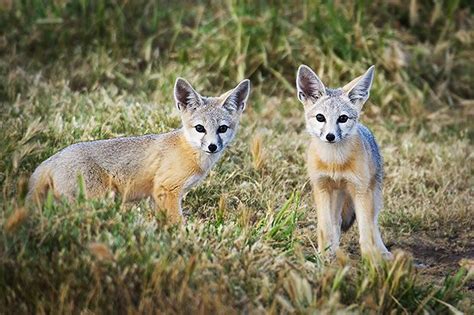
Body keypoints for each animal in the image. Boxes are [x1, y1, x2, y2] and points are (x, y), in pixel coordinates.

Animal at [28, 77, 252, 223]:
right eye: (200, 128)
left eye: (222, 128)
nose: (212, 146)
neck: (189, 151)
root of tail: (54, 158)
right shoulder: (167, 189)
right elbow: (177, 223)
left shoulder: (157, 196)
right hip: (98, 198)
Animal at [296, 64, 392, 260]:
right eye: (320, 117)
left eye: (343, 118)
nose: (330, 136)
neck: (335, 163)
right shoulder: (321, 188)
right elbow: (325, 228)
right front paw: (324, 256)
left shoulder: (361, 191)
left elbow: (366, 231)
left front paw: (370, 259)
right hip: (336, 195)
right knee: (336, 223)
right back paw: (334, 251)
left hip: (373, 194)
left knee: (373, 223)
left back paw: (382, 251)